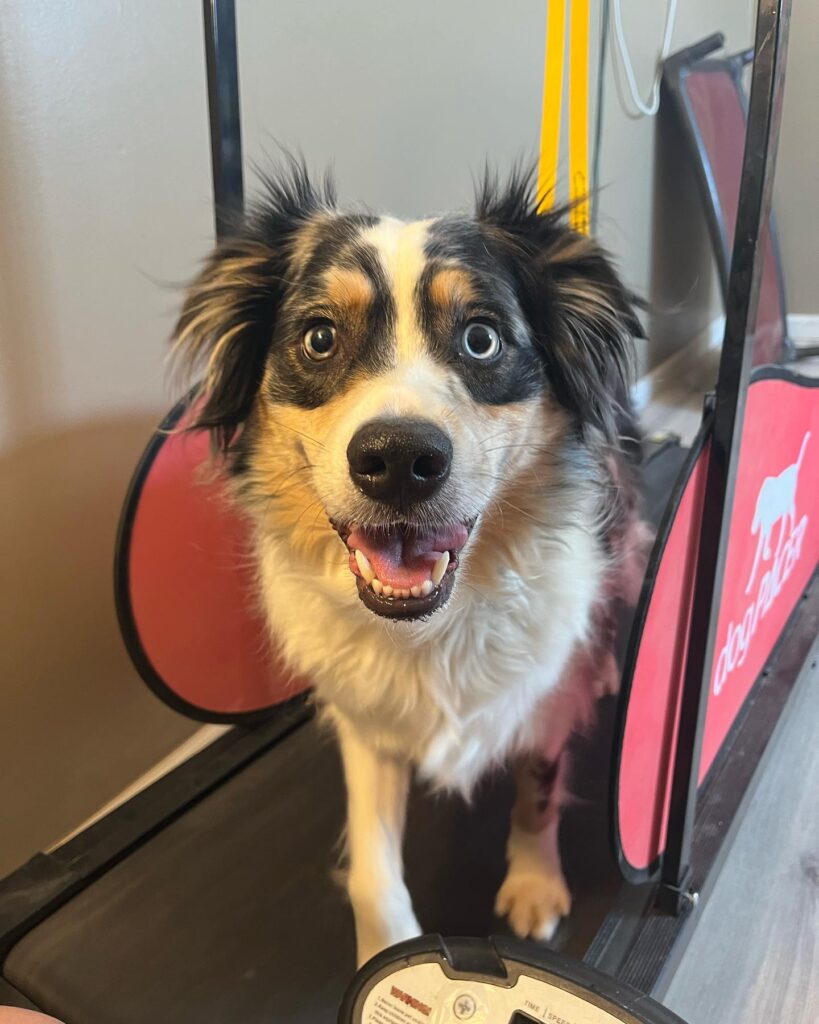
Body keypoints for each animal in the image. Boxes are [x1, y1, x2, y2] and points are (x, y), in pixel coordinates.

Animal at [170, 161, 647, 966]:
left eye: (482, 339)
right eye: (319, 337)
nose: (398, 460)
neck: (431, 626)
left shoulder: (544, 702)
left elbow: (538, 790)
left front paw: (533, 885)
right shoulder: (365, 719)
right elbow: (371, 869)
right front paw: (386, 953)